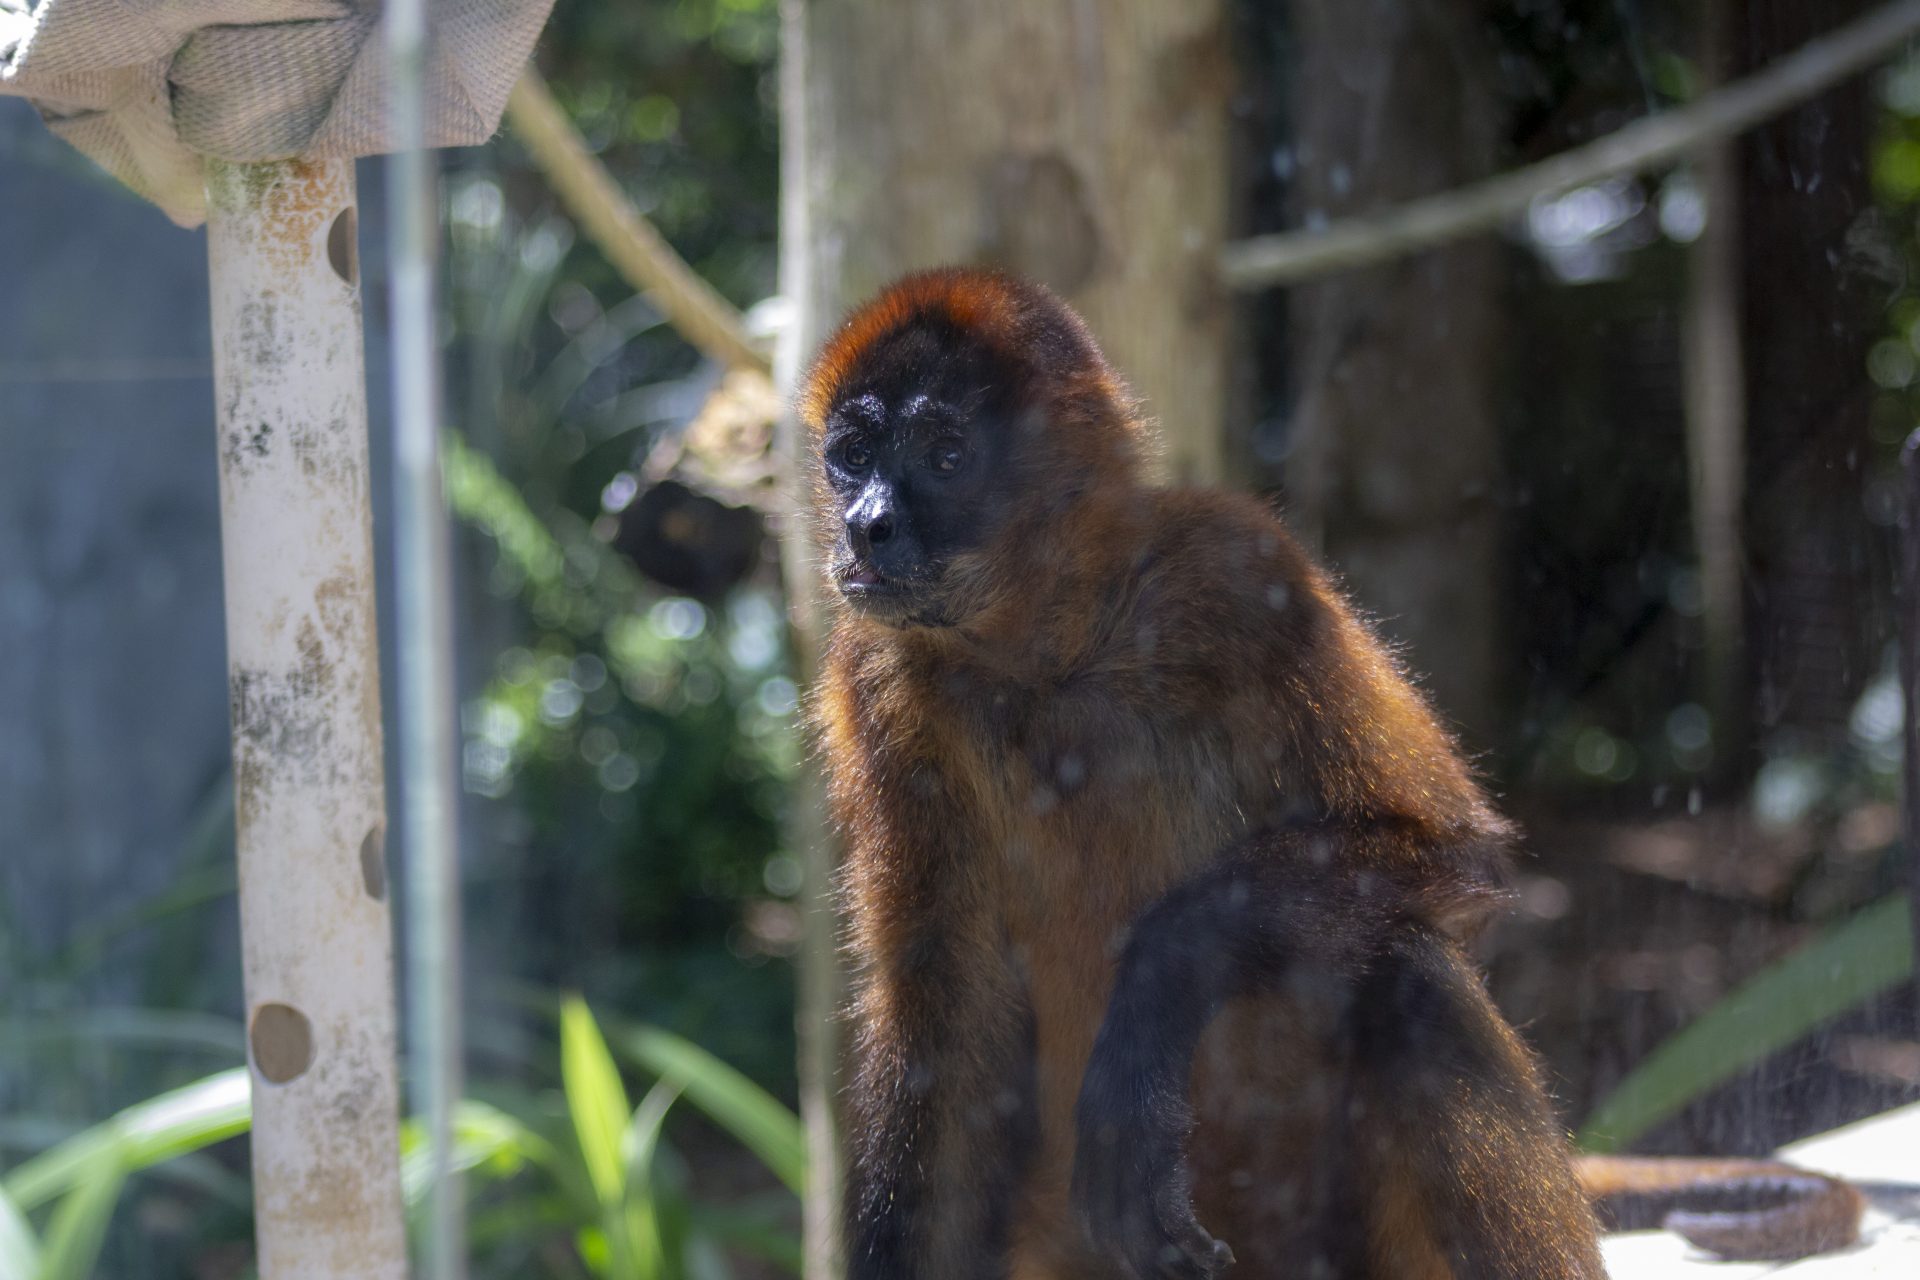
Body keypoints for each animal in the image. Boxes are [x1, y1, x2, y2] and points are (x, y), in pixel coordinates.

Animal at [799, 268, 1862, 1279]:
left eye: (944, 456)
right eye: (852, 456)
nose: (867, 525)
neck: (1047, 659)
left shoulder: (1237, 569)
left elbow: (1454, 855)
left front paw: (1156, 994)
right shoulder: (878, 679)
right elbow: (945, 1025)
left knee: (1410, 969)